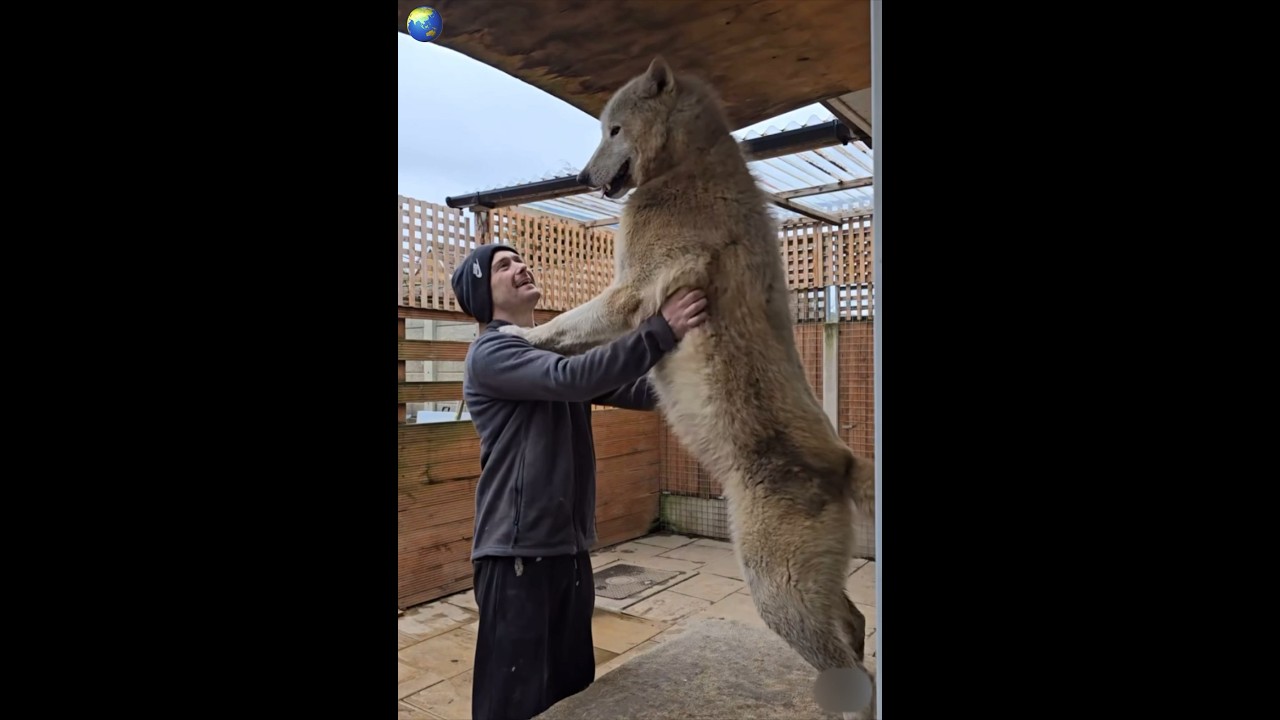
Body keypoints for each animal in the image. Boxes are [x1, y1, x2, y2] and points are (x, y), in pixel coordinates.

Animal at [500, 57, 876, 718]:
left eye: (613, 129)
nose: (581, 176)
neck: (689, 159)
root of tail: (843, 460)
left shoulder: (629, 293)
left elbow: (564, 326)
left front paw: (523, 338)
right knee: (855, 626)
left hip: (775, 586)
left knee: (845, 655)